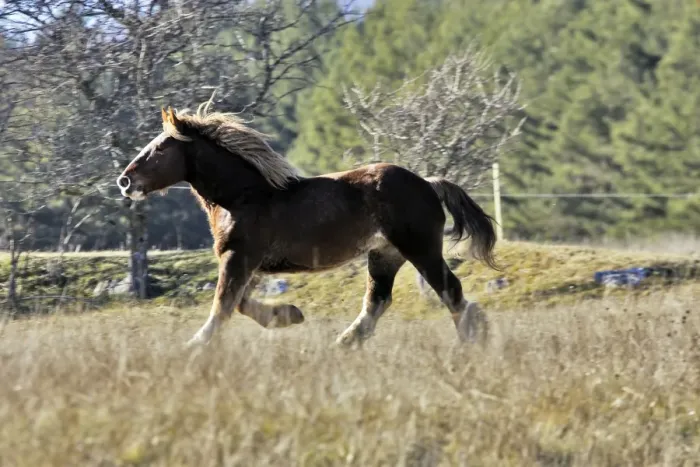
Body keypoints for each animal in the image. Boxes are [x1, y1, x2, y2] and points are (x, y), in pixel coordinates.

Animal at [116, 104, 500, 348]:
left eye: (160, 149)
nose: (125, 181)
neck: (244, 197)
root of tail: (429, 184)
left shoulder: (238, 257)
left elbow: (223, 304)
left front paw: (196, 345)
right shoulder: (249, 263)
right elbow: (239, 303)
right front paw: (289, 315)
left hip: (419, 248)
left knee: (450, 291)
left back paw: (473, 339)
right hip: (385, 254)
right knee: (378, 300)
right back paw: (344, 343)